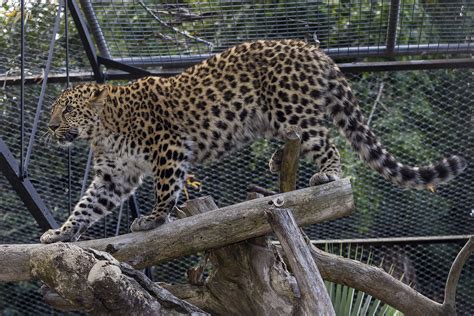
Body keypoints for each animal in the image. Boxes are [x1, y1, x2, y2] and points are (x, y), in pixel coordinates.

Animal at [39, 39, 464, 242]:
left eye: (68, 109)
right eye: (55, 109)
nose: (51, 127)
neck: (103, 130)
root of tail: (313, 49)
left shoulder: (168, 146)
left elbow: (165, 188)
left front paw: (154, 219)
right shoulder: (115, 175)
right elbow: (86, 206)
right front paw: (61, 233)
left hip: (289, 107)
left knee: (326, 140)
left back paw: (327, 175)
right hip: (272, 118)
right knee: (299, 138)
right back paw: (278, 160)